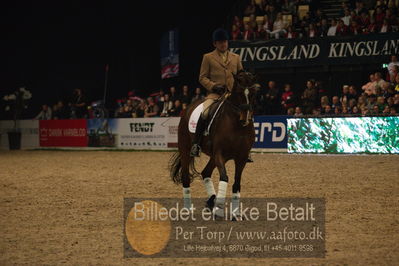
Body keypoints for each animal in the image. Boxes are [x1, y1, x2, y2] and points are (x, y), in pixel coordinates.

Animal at [168, 69, 256, 219]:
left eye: (253, 93)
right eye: (239, 93)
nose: (246, 118)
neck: (237, 125)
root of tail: (187, 108)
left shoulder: (241, 158)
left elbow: (236, 183)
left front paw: (235, 213)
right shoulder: (220, 153)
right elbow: (224, 177)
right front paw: (219, 208)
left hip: (213, 157)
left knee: (205, 173)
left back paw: (211, 201)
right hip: (186, 149)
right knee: (186, 177)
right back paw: (188, 210)